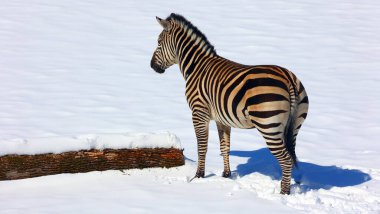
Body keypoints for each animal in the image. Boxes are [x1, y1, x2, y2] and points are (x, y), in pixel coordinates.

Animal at [150, 12, 308, 194]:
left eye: (159, 42)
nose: (152, 66)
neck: (196, 67)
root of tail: (288, 78)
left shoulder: (199, 112)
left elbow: (202, 146)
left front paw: (198, 176)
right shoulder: (222, 119)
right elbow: (224, 146)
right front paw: (226, 175)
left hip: (269, 125)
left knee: (286, 159)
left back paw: (283, 193)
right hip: (294, 125)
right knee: (291, 156)